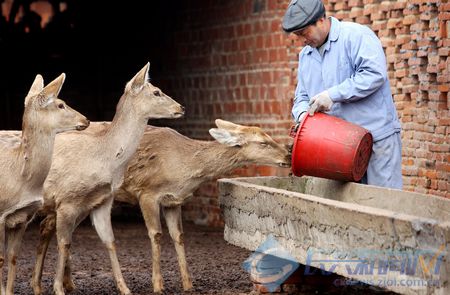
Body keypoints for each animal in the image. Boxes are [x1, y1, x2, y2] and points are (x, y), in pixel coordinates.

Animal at [0, 72, 89, 295]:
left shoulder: (23, 217)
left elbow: (13, 257)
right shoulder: (0, 214)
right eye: (60, 104)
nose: (86, 119)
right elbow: (1, 258)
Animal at [26, 63, 184, 295]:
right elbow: (64, 243)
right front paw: (57, 288)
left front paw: (125, 288)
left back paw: (37, 285)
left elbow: (110, 241)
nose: (181, 107)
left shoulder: (101, 200)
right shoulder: (67, 200)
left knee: (44, 227)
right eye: (156, 92)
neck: (103, 157)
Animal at [68, 118, 292, 294]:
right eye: (263, 142)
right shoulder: (146, 192)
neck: (183, 167)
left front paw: (188, 284)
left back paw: (69, 284)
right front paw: (158, 285)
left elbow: (179, 236)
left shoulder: (173, 200)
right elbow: (156, 234)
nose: (288, 156)